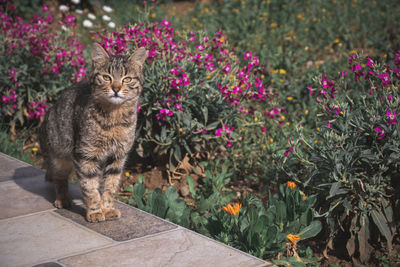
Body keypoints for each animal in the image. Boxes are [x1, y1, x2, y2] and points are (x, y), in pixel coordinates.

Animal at [39, 44, 148, 223]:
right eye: (106, 77)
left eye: (127, 79)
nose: (116, 88)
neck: (114, 118)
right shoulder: (85, 155)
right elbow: (90, 187)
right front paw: (96, 211)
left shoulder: (117, 158)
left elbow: (109, 187)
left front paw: (107, 208)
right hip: (59, 156)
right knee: (59, 178)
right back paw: (63, 198)